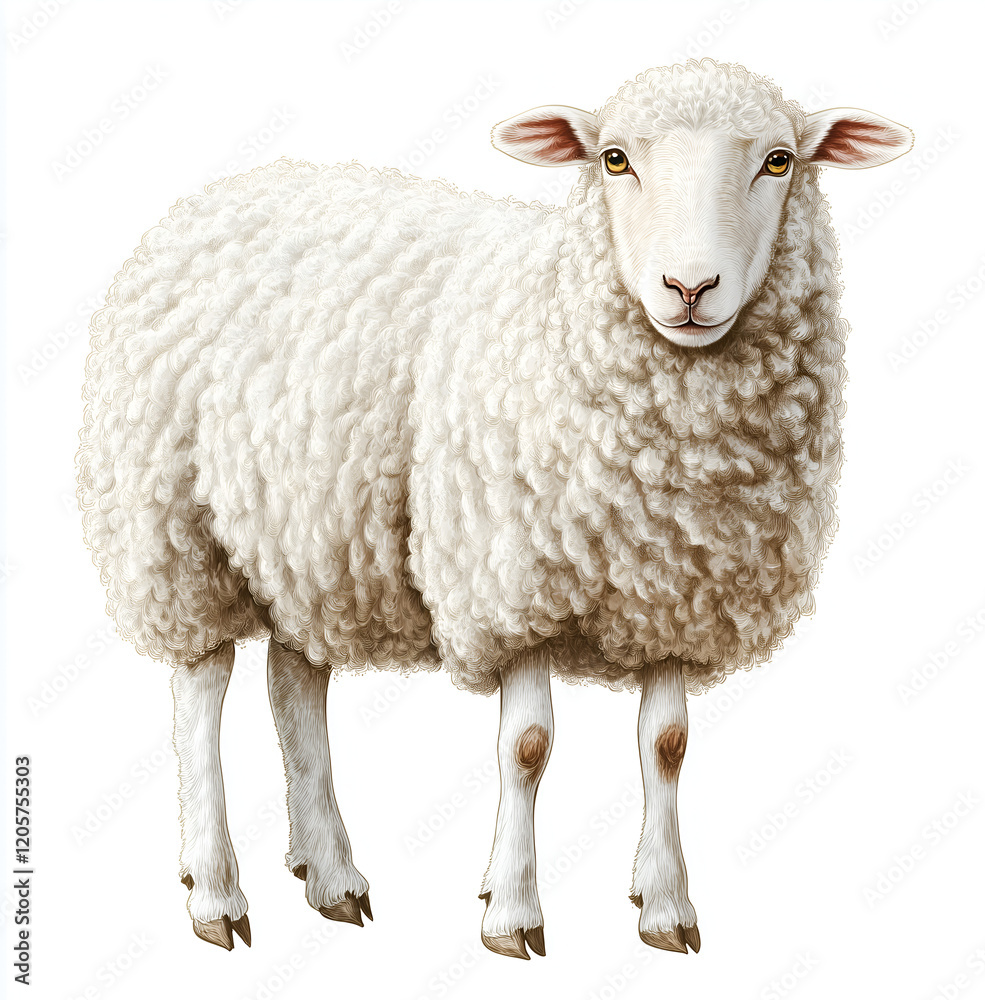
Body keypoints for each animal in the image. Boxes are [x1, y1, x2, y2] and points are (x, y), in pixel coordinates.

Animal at [77, 58, 911, 958]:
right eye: (613, 159)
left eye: (779, 161)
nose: (689, 287)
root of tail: (218, 192)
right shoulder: (507, 582)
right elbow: (527, 748)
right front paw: (510, 910)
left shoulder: (669, 591)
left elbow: (666, 746)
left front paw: (664, 906)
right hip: (171, 528)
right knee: (199, 697)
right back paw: (215, 893)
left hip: (306, 533)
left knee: (293, 684)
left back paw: (330, 874)